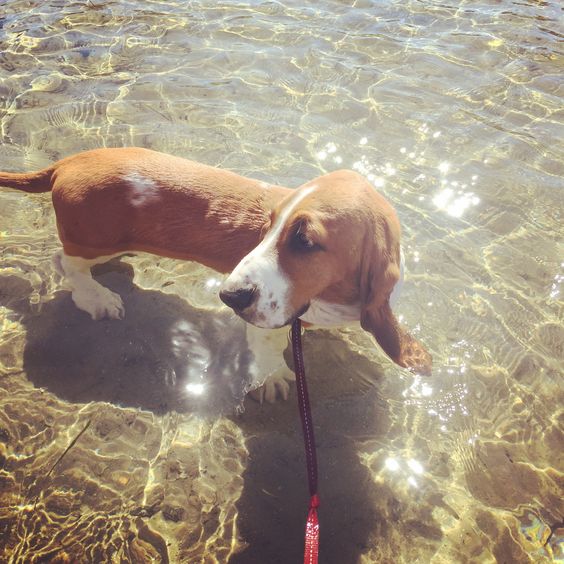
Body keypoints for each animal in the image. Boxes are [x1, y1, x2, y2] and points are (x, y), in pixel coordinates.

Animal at [1, 145, 432, 400]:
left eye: (305, 241)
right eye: (269, 223)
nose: (229, 296)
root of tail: (65, 164)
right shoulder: (266, 320)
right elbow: (267, 347)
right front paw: (273, 379)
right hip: (94, 238)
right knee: (66, 263)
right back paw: (97, 298)